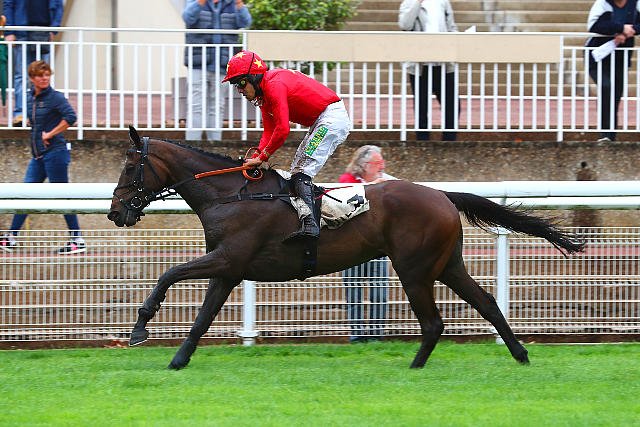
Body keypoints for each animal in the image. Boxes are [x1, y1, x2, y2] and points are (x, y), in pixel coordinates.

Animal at [108, 126, 584, 370]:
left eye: (130, 166)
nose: (115, 212)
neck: (231, 194)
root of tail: (442, 194)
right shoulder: (228, 268)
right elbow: (203, 316)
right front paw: (178, 359)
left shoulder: (227, 257)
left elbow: (168, 274)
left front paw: (139, 329)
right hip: (447, 264)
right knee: (486, 302)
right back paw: (520, 354)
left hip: (413, 268)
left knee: (433, 322)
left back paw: (415, 366)